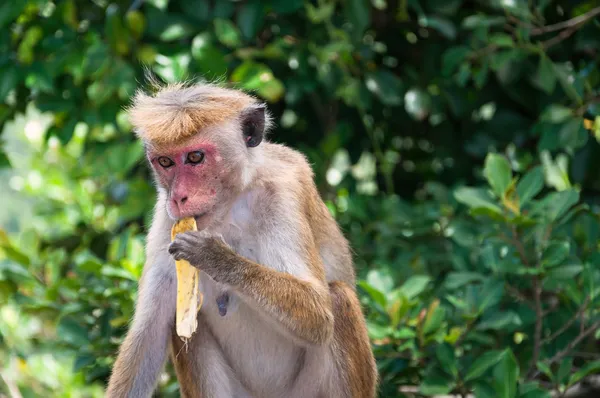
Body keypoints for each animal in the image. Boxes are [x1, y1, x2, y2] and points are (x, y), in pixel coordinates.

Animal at [105, 79, 378, 396]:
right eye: (165, 162)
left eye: (195, 157)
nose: (178, 197)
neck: (230, 205)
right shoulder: (166, 220)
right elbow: (147, 335)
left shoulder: (283, 195)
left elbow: (318, 314)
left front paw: (217, 258)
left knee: (338, 297)